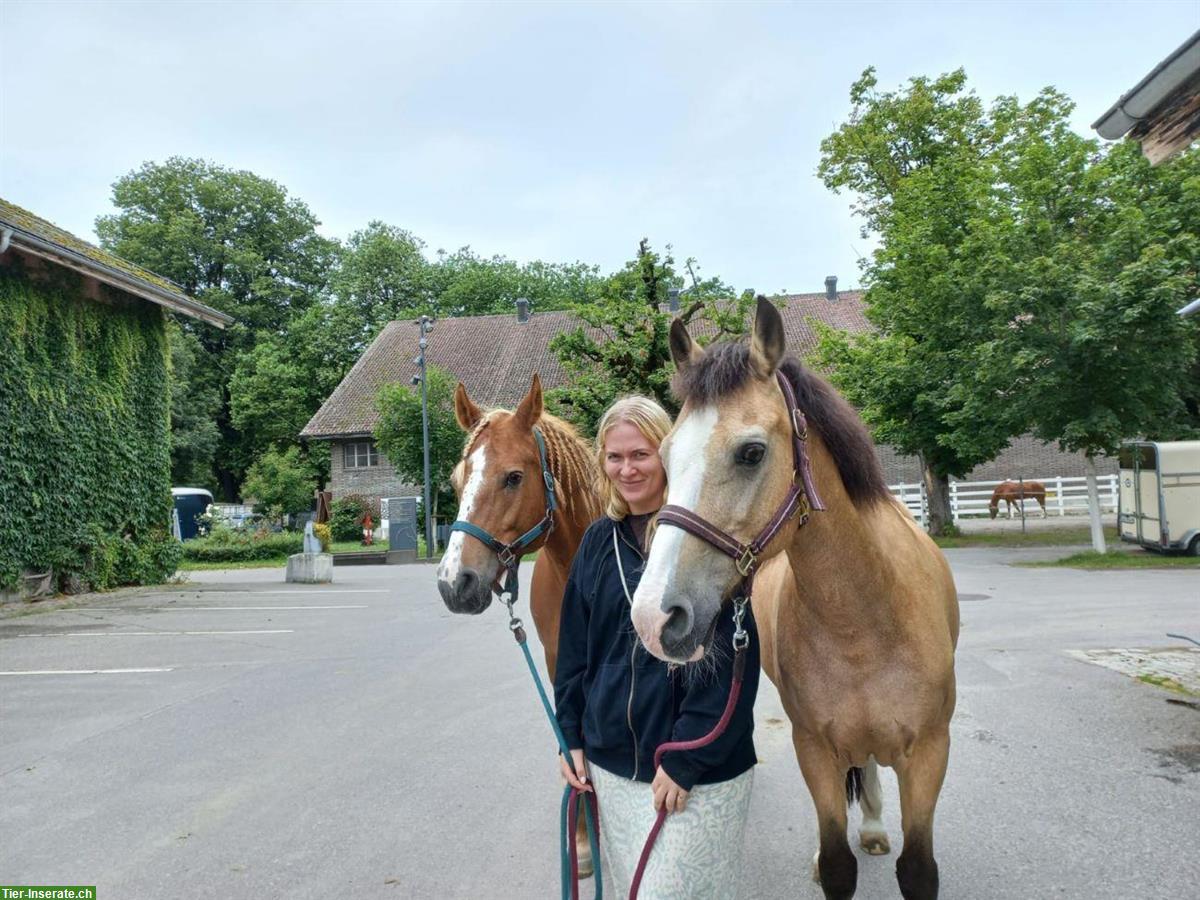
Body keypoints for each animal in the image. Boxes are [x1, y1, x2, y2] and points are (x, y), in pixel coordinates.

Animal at [434, 376, 604, 878]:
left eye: (513, 477)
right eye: (456, 481)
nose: (454, 583)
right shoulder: (557, 663)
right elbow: (571, 745)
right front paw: (583, 839)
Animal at [628, 301, 955, 900]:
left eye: (752, 452)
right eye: (664, 454)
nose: (653, 618)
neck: (864, 622)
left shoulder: (929, 755)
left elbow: (918, 871)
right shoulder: (816, 753)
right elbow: (838, 864)